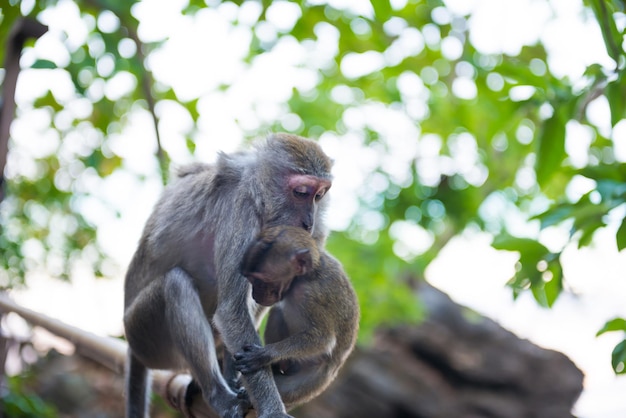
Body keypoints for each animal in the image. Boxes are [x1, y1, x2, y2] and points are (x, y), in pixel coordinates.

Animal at [123, 134, 334, 418]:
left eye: (320, 195)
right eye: (301, 192)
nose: (308, 222)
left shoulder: (315, 234)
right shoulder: (241, 211)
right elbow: (232, 311)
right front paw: (272, 409)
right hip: (144, 335)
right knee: (174, 284)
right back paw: (217, 394)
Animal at [234, 225, 358, 408]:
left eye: (261, 281)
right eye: (250, 279)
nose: (256, 295)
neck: (305, 277)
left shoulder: (311, 296)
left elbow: (323, 339)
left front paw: (264, 355)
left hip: (314, 379)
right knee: (278, 312)